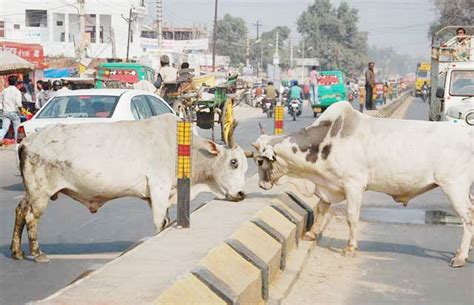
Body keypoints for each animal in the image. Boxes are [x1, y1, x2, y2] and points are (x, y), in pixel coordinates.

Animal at [11, 114, 248, 262]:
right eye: (233, 162)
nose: (241, 193)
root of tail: (28, 142)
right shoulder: (159, 188)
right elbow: (160, 223)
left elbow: (166, 221)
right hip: (41, 192)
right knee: (31, 217)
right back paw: (38, 254)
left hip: (32, 191)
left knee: (20, 210)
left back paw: (17, 252)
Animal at [250, 101, 472, 266]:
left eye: (260, 161)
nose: (261, 185)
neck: (326, 141)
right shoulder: (329, 186)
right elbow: (322, 208)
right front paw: (311, 233)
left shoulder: (353, 185)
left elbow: (352, 217)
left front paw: (350, 248)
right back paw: (466, 251)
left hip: (455, 187)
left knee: (468, 217)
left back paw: (460, 257)